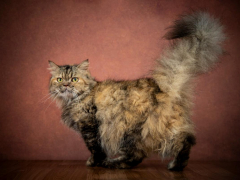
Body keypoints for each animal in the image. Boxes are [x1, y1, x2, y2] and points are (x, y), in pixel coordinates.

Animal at [48, 11, 225, 170]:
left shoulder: (89, 126)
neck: (71, 101)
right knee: (185, 140)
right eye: (60, 80)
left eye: (74, 79)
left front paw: (94, 162)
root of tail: (163, 87)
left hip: (129, 130)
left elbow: (95, 149)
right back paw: (176, 166)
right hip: (167, 128)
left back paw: (113, 164)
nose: (66, 86)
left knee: (137, 155)